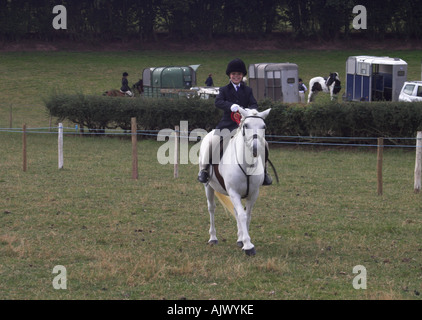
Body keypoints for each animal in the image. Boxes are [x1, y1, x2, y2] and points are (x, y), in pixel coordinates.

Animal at [198, 107, 270, 255]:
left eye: (264, 126)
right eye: (246, 125)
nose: (255, 149)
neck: (247, 164)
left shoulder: (253, 193)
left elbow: (247, 215)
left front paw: (243, 241)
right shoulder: (234, 192)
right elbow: (242, 216)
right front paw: (248, 246)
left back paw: (239, 238)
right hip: (208, 187)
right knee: (211, 208)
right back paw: (213, 238)